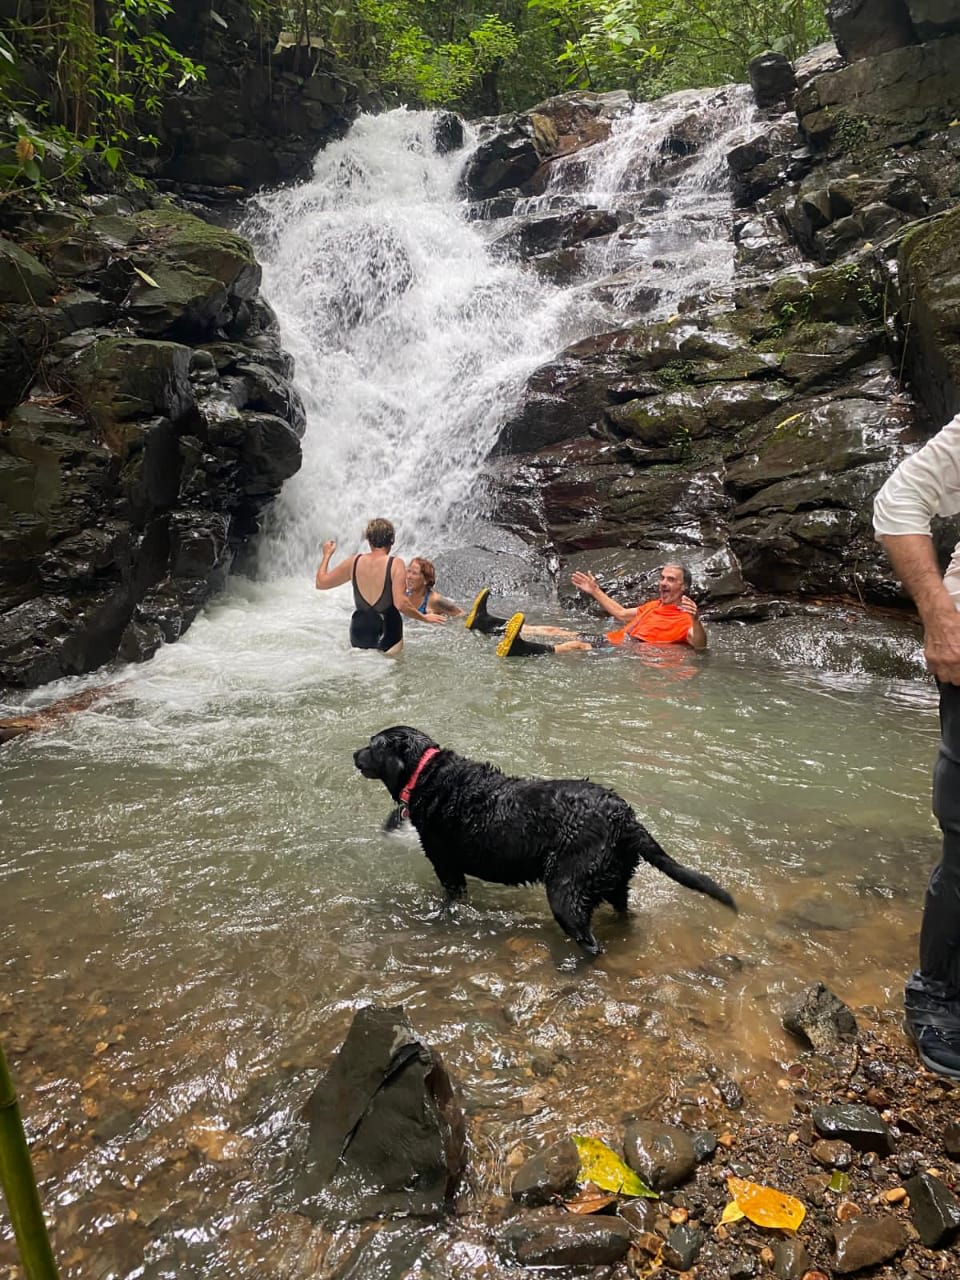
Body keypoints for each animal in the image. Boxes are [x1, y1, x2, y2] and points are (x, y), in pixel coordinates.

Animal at [353, 727, 737, 957]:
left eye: (372, 746)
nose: (353, 754)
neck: (427, 775)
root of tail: (625, 819)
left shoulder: (447, 866)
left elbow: (451, 898)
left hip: (566, 890)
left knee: (590, 943)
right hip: (616, 884)